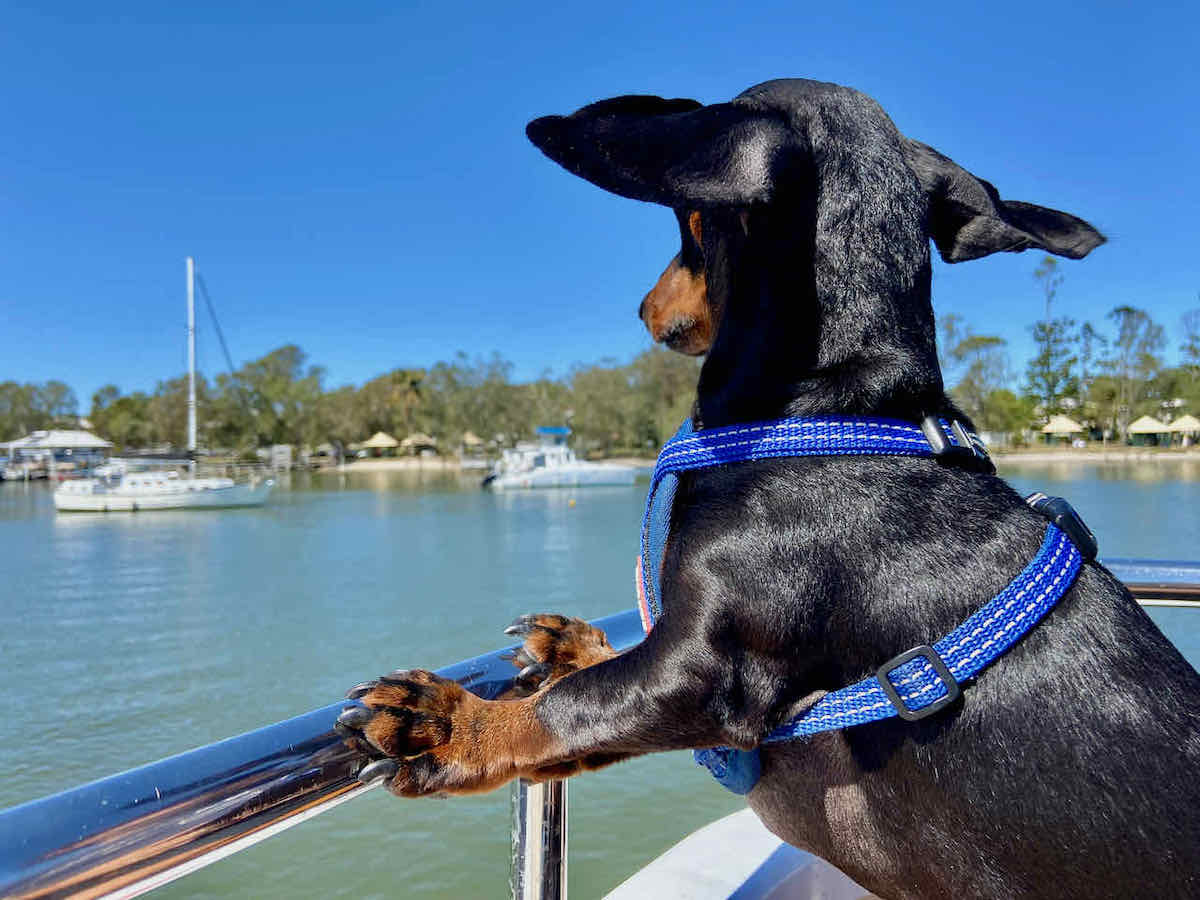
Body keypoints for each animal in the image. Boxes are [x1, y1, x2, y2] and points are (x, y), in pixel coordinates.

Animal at [338, 81, 1200, 897]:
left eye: (686, 222)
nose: (642, 306)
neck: (835, 414)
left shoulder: (701, 675)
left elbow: (569, 710)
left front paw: (448, 725)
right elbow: (594, 695)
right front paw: (576, 646)